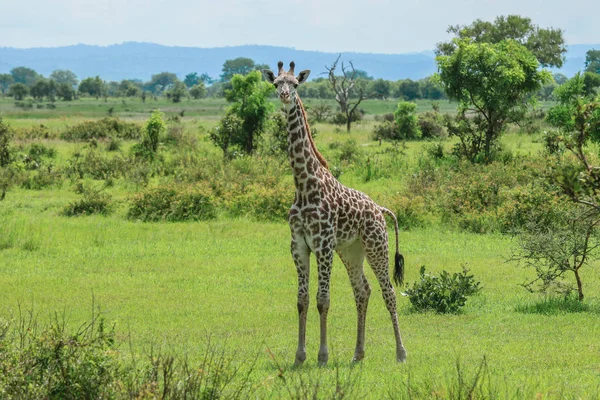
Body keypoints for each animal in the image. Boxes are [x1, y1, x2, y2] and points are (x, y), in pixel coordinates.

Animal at [262, 61, 408, 364]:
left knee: (388, 291)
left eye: (295, 84)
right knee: (363, 291)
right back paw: (358, 353)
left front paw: (322, 355)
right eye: (276, 83)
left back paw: (401, 353)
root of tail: (380, 209)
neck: (304, 185)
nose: (284, 96)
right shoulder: (299, 245)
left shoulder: (323, 245)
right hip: (352, 251)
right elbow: (302, 300)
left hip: (377, 245)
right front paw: (300, 356)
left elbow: (323, 299)